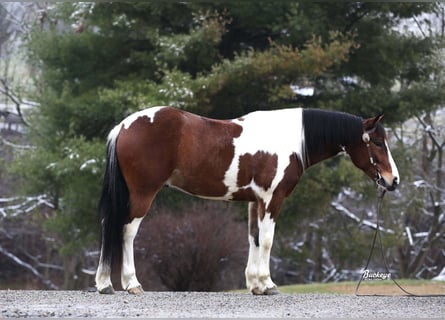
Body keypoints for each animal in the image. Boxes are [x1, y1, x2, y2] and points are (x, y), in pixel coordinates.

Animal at [93, 107, 398, 296]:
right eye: (377, 142)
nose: (393, 180)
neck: (289, 140)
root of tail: (124, 126)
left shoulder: (256, 201)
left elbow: (254, 237)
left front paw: (255, 285)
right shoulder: (273, 198)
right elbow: (268, 239)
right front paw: (268, 284)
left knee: (109, 226)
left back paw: (105, 284)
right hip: (142, 193)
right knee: (127, 232)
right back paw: (132, 284)